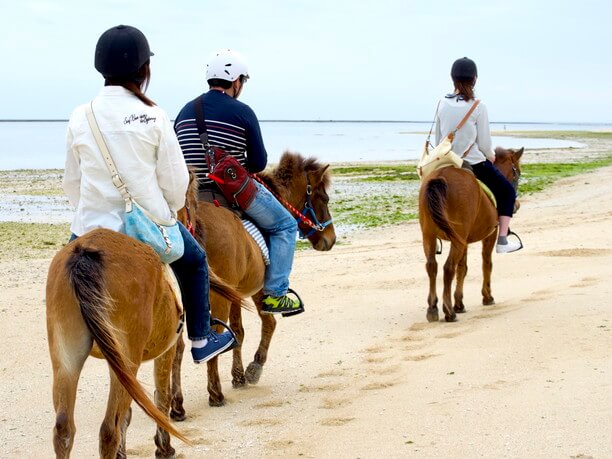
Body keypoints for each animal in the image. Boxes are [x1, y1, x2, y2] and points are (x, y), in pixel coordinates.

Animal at [46, 230, 244, 459]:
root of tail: (84, 253)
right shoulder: (167, 350)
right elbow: (162, 398)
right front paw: (164, 447)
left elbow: (130, 413)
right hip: (126, 359)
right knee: (109, 430)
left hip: (68, 361)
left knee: (64, 430)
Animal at [170, 152, 338, 414]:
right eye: (325, 198)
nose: (331, 239)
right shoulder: (259, 289)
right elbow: (269, 323)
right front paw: (254, 367)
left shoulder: (235, 293)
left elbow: (238, 331)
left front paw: (238, 375)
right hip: (216, 297)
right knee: (213, 337)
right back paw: (215, 393)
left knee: (176, 348)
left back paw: (176, 404)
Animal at [418, 147, 524, 324]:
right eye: (517, 173)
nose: (516, 205)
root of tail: (441, 175)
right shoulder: (490, 235)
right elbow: (486, 264)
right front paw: (487, 296)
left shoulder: (464, 241)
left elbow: (463, 268)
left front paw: (459, 303)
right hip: (456, 238)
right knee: (448, 268)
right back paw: (448, 311)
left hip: (430, 236)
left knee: (432, 266)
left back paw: (433, 308)